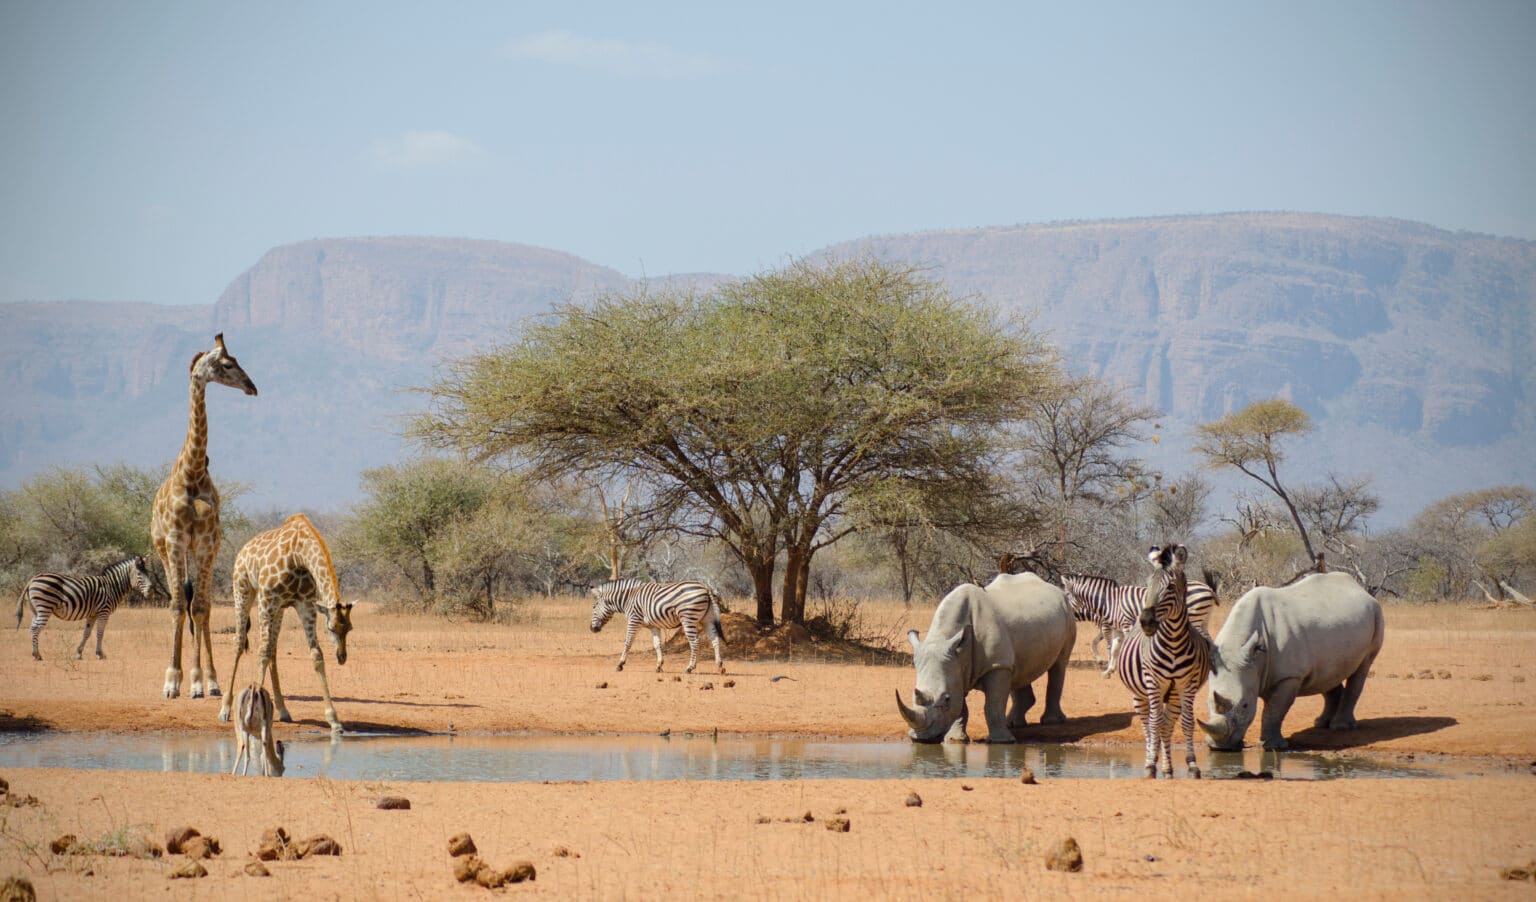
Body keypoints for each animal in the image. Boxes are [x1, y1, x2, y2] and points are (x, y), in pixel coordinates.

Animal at [15, 553, 155, 660]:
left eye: (148, 573)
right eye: (139, 574)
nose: (151, 592)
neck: (111, 586)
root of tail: (33, 579)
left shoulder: (92, 614)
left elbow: (86, 633)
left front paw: (79, 653)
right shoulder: (104, 612)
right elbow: (100, 633)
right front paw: (100, 654)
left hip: (36, 610)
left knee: (31, 628)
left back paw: (35, 653)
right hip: (45, 608)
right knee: (35, 629)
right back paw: (37, 655)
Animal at [151, 331, 256, 697]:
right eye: (227, 364)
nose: (252, 386)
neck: (193, 471)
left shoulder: (209, 543)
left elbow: (201, 608)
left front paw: (204, 681)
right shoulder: (175, 542)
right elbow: (177, 606)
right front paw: (172, 680)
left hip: (198, 551)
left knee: (199, 607)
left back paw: (203, 680)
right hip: (164, 550)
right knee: (179, 603)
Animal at [221, 516, 354, 734]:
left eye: (349, 629)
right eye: (331, 629)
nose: (342, 657)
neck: (298, 555)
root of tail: (243, 550)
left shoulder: (306, 604)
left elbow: (316, 655)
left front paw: (334, 720)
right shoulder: (267, 599)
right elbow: (262, 652)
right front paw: (252, 715)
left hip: (280, 609)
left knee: (273, 649)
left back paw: (283, 710)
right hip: (243, 591)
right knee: (240, 642)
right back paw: (224, 709)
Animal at [589, 580, 728, 673]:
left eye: (594, 607)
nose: (592, 629)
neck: (629, 598)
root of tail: (705, 587)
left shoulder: (634, 620)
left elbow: (628, 642)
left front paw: (620, 664)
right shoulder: (653, 626)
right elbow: (657, 644)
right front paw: (659, 666)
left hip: (688, 618)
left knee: (694, 642)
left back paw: (689, 668)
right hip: (707, 619)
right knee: (715, 639)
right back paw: (720, 665)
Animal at [1118, 547, 1210, 780]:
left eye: (1170, 587)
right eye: (1148, 584)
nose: (1146, 622)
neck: (1174, 644)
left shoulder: (1187, 685)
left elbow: (1186, 723)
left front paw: (1192, 766)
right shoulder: (1154, 683)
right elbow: (1153, 724)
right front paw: (1151, 764)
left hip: (1174, 695)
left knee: (1166, 725)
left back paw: (1167, 768)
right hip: (1140, 695)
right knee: (1148, 725)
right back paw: (1151, 761)